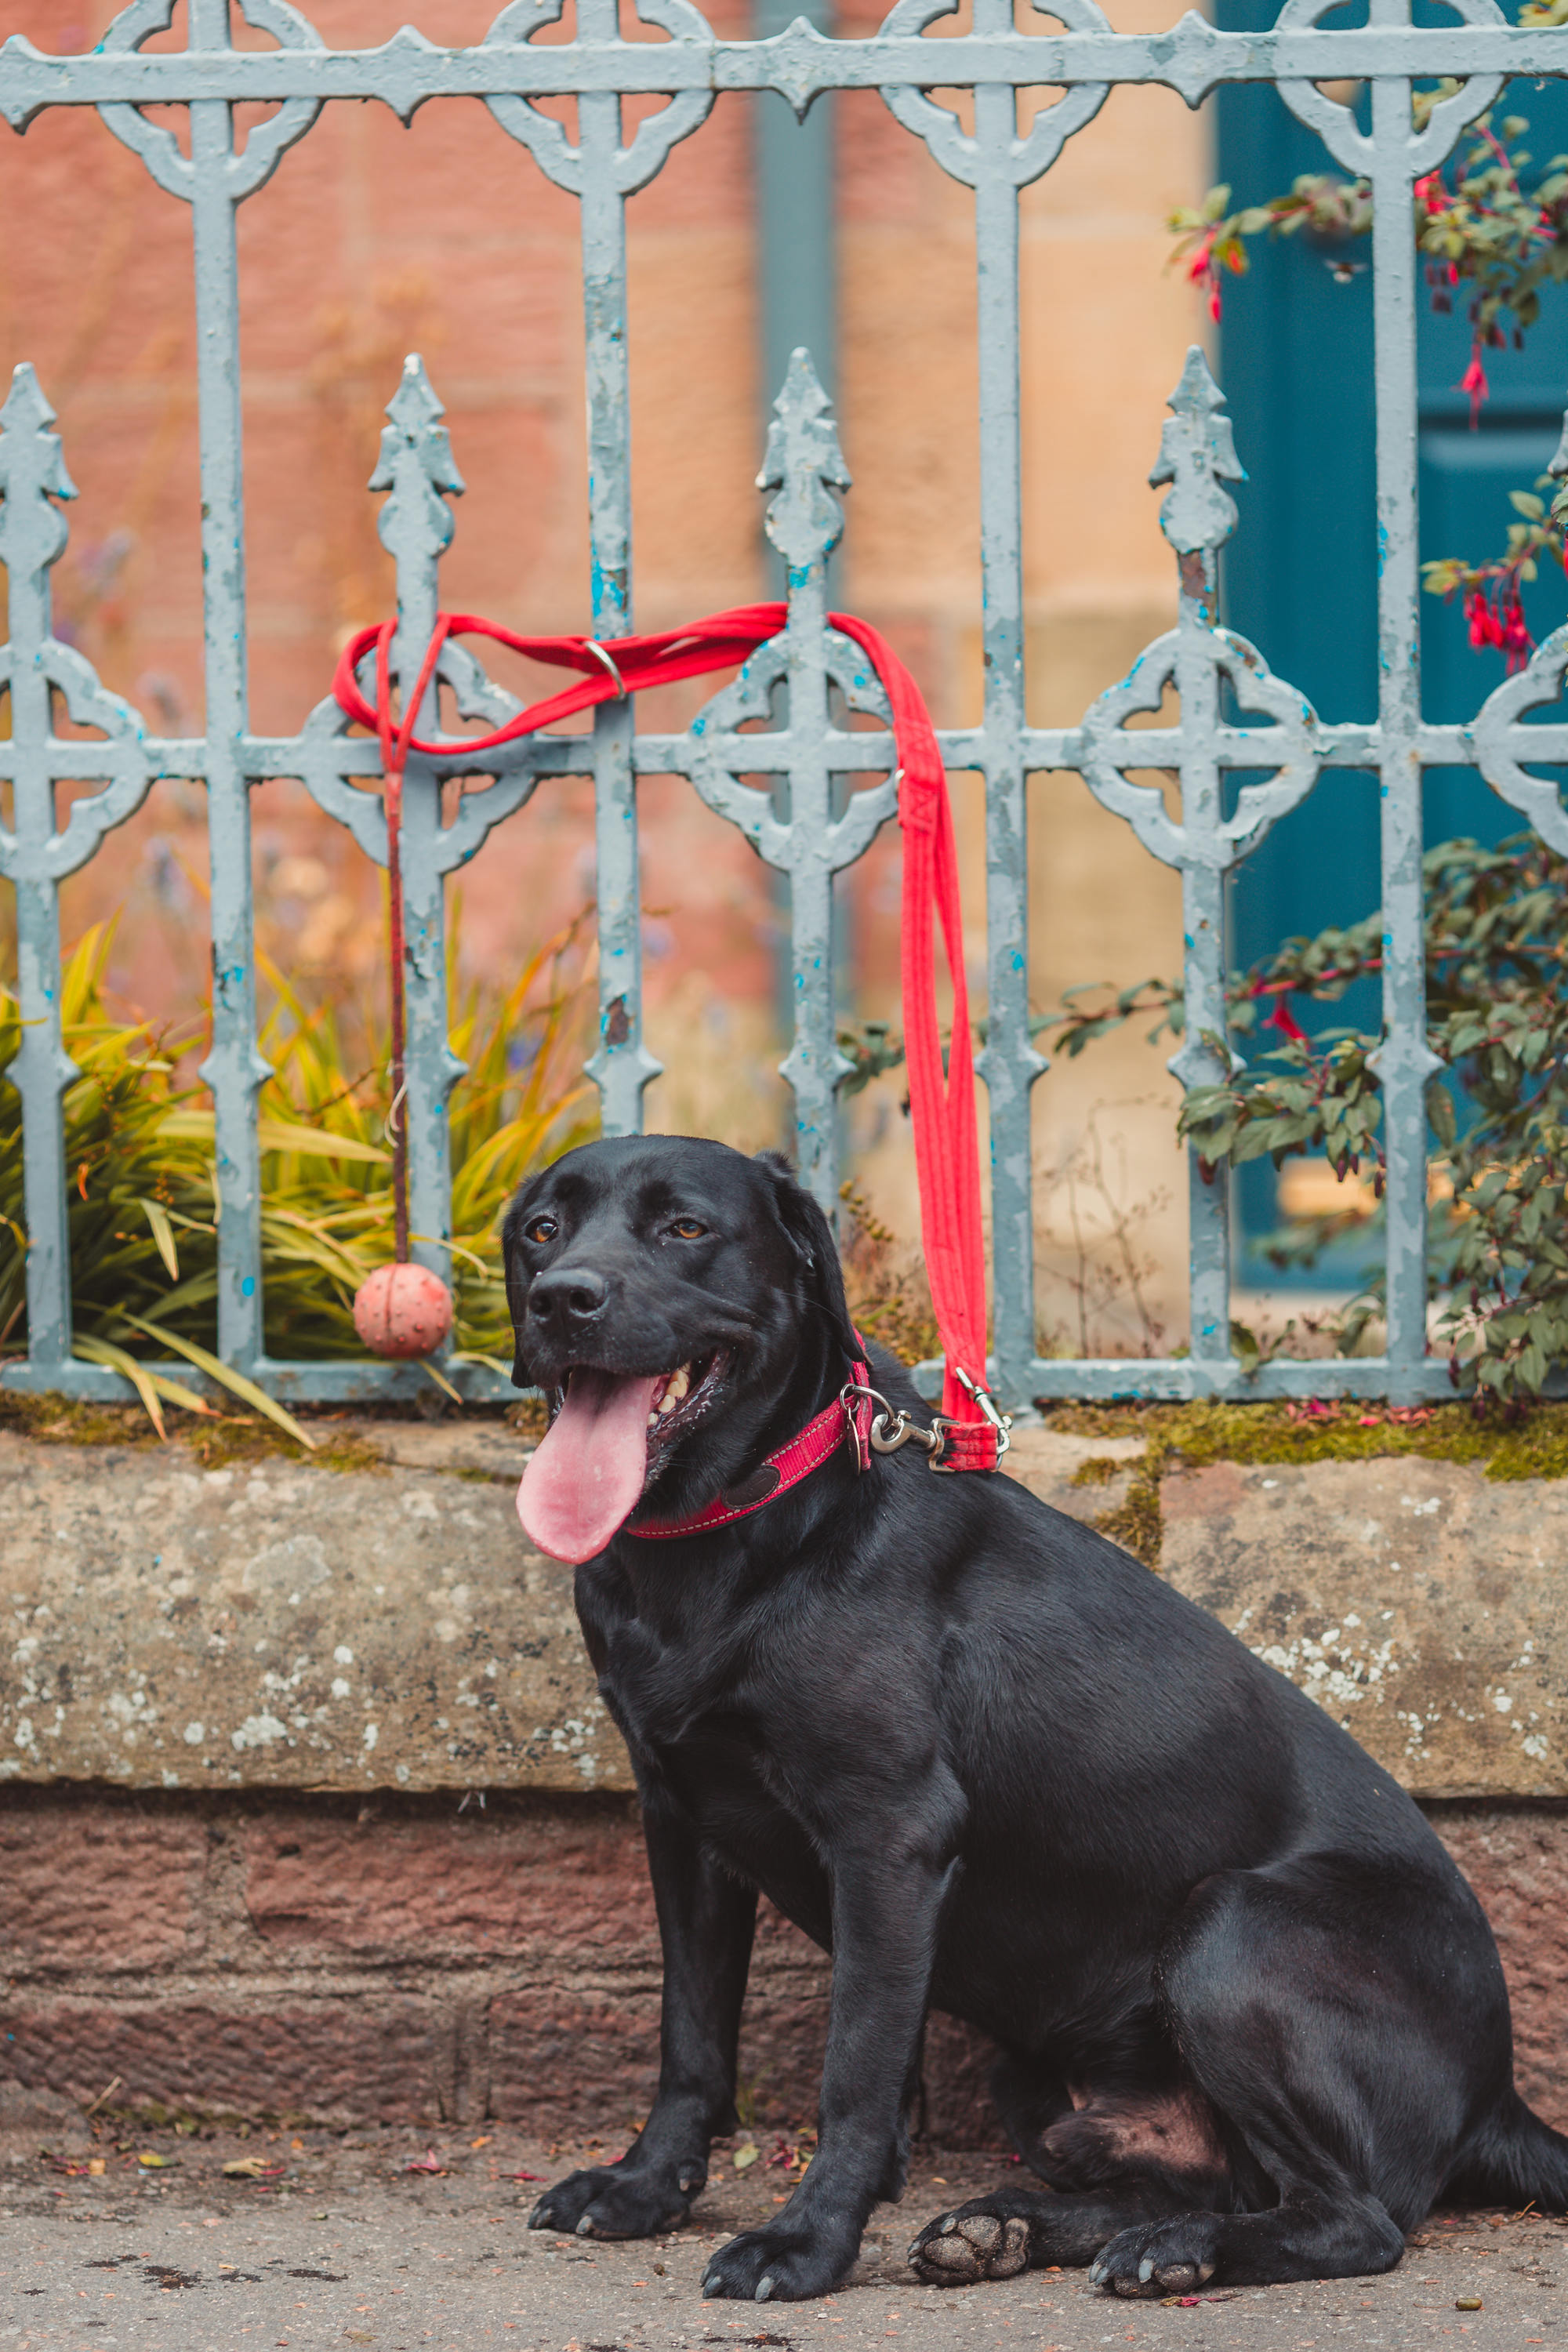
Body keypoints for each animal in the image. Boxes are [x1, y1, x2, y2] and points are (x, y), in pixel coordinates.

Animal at [505, 1129, 1568, 2305]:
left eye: (686, 1227)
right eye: (540, 1230)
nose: (562, 1299)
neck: (730, 1538)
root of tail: (1498, 2100)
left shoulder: (889, 1838)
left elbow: (855, 2072)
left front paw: (805, 2243)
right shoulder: (682, 1818)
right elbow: (690, 2037)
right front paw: (644, 2188)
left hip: (1228, 1929)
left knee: (1356, 2220)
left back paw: (1171, 2253)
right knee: (1190, 2183)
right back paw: (1007, 2228)